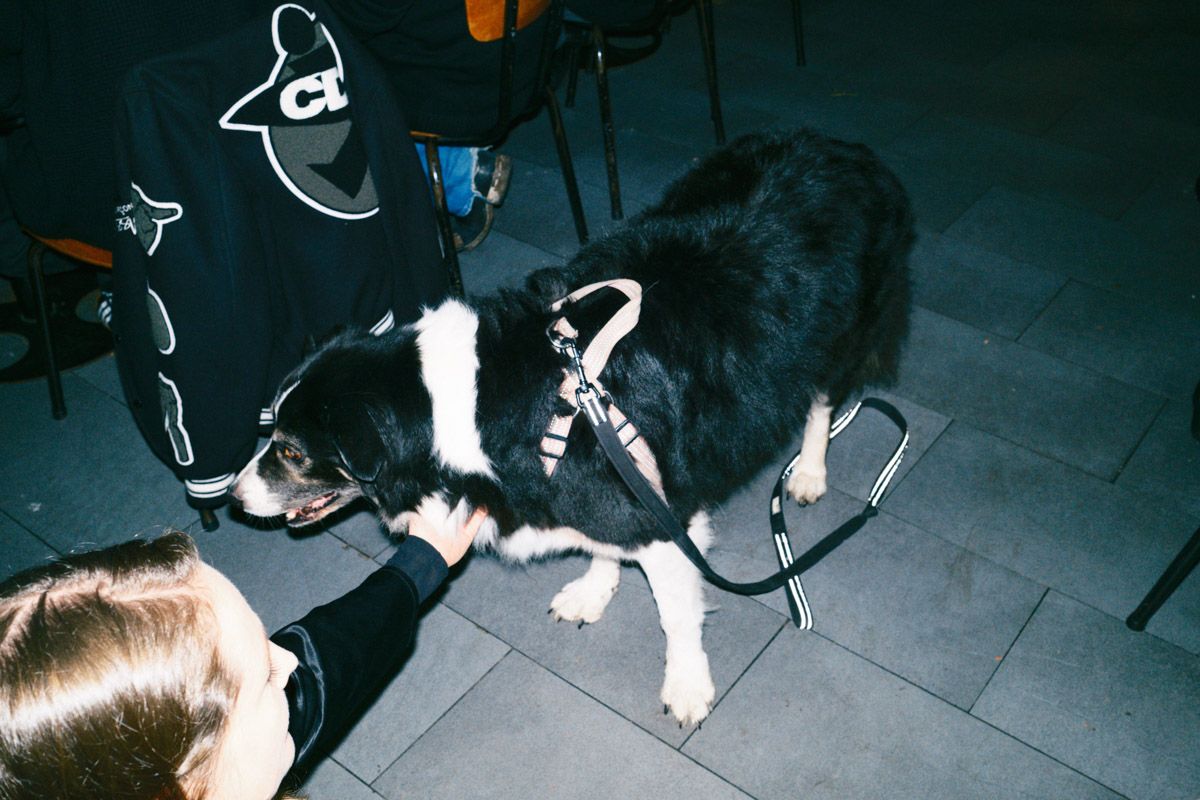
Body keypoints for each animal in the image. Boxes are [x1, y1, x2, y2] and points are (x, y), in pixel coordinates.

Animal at [233, 130, 914, 725]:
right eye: (274, 435)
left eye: (291, 452)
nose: (235, 498)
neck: (468, 402)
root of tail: (845, 151)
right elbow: (601, 544)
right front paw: (594, 590)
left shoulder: (662, 512)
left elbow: (676, 613)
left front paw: (687, 684)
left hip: (835, 336)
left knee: (821, 401)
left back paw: (811, 472)